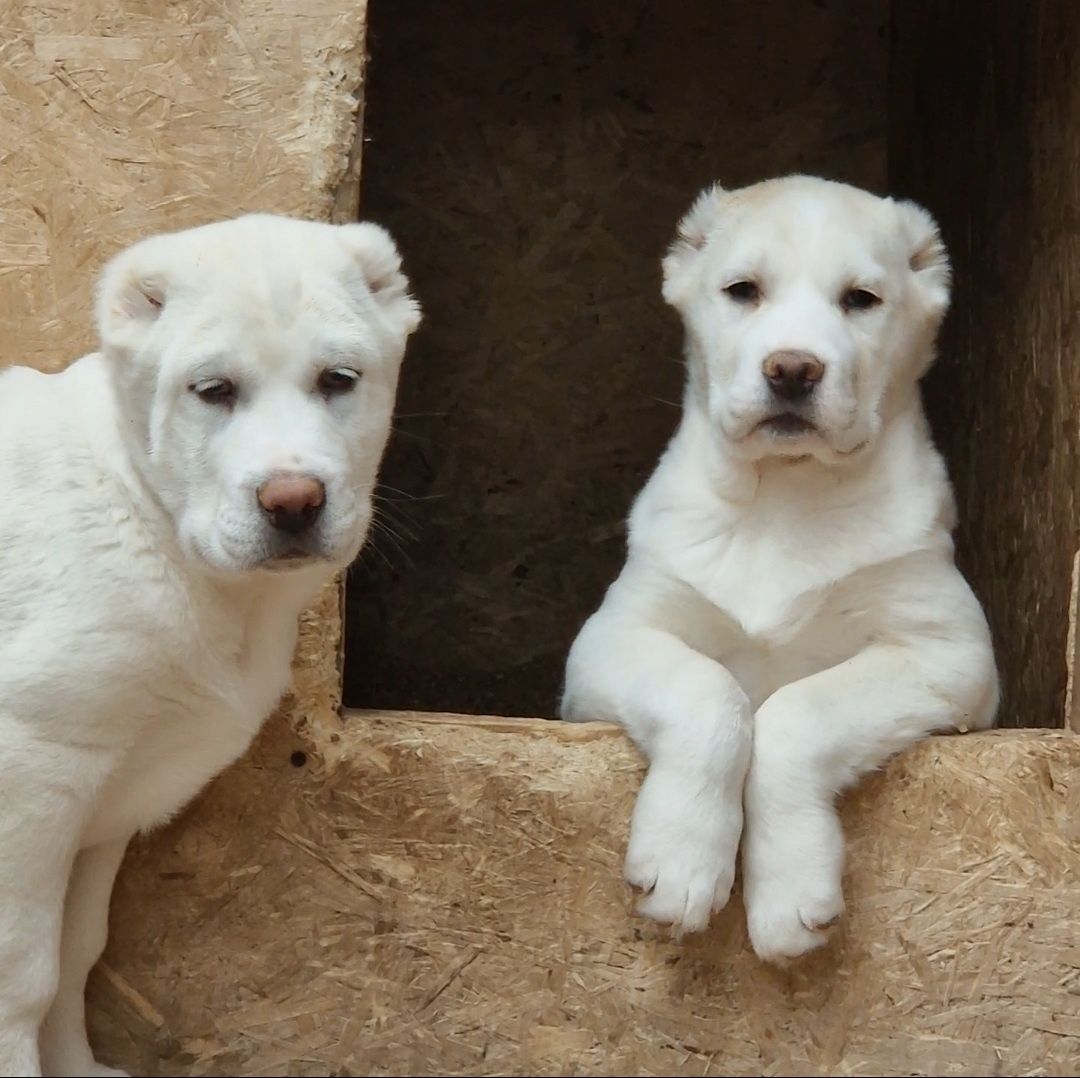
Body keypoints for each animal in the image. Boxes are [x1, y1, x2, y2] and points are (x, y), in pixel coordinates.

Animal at [0, 214, 419, 1075]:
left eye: (338, 380)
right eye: (214, 392)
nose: (293, 502)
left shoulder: (106, 802)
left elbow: (76, 954)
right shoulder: (30, 772)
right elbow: (24, 977)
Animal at [561, 177, 997, 972]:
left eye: (861, 299)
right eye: (743, 291)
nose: (793, 369)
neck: (785, 496)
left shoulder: (948, 655)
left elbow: (798, 713)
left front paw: (790, 890)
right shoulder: (609, 639)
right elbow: (710, 693)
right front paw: (682, 862)